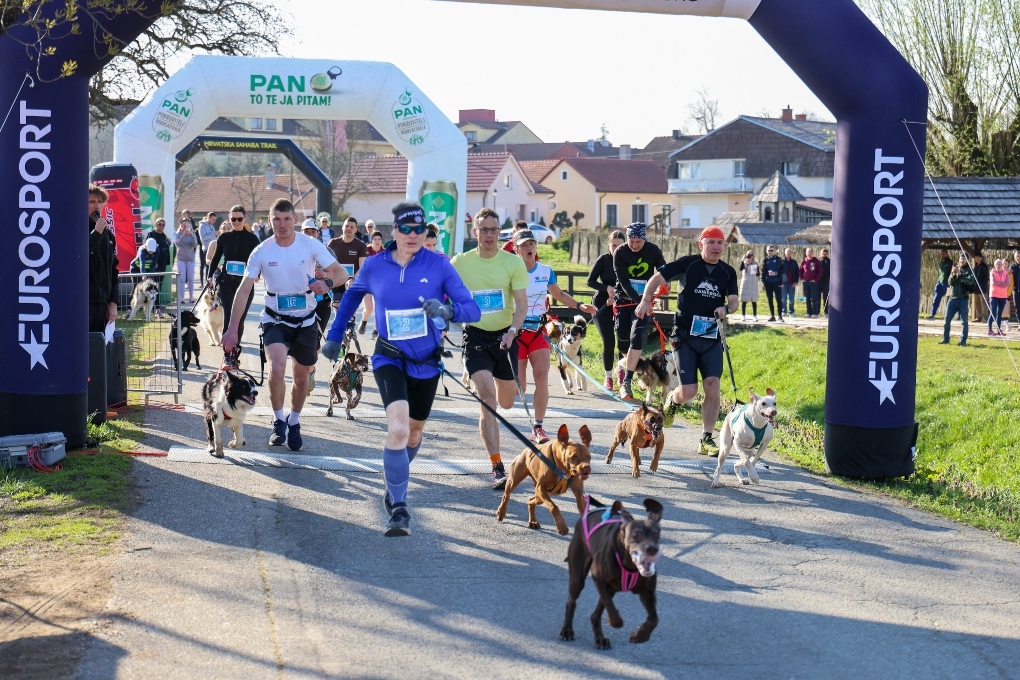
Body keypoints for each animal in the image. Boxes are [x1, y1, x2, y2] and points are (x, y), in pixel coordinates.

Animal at [560, 496, 664, 649]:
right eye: (636, 534)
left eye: (656, 535)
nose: (652, 549)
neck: (630, 565)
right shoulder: (598, 578)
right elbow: (610, 607)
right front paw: (614, 620)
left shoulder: (647, 592)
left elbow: (654, 619)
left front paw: (640, 636)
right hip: (578, 578)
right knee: (571, 602)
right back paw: (567, 630)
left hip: (611, 588)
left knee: (595, 615)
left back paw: (600, 638)